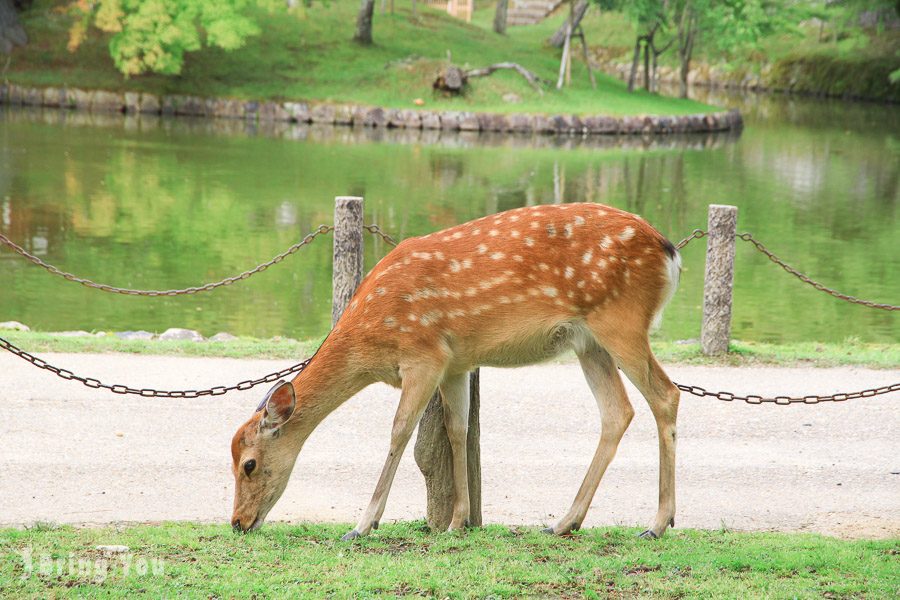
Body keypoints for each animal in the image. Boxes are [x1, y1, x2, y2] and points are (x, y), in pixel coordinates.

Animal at [230, 203, 684, 540]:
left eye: (248, 464)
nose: (237, 522)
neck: (370, 337)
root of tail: (670, 251)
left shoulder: (423, 355)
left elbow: (399, 431)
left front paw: (363, 524)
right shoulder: (455, 364)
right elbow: (457, 429)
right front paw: (457, 521)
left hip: (621, 320)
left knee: (666, 394)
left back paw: (658, 524)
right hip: (587, 341)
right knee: (617, 411)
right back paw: (564, 522)